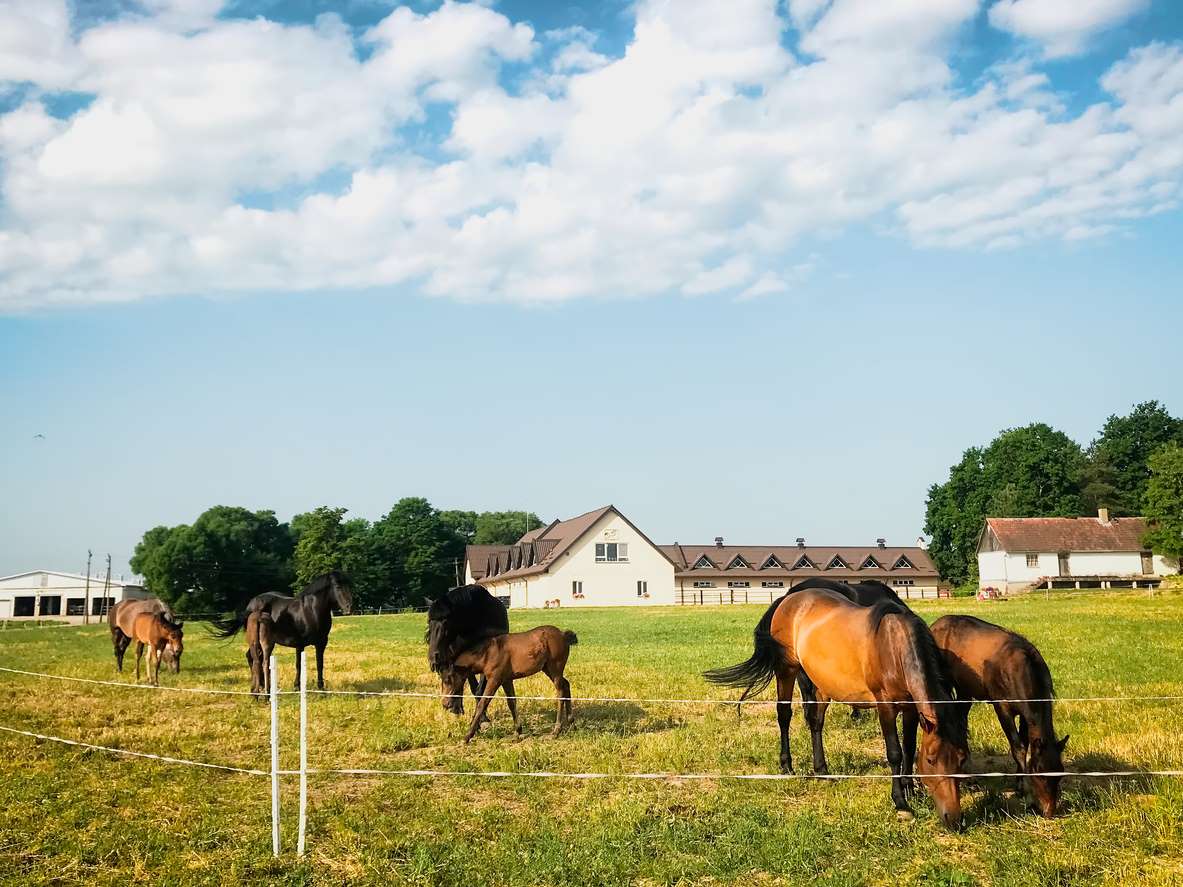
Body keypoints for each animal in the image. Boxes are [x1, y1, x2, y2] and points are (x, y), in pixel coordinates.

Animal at [208, 572, 350, 700]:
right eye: (337, 586)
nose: (348, 607)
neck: (310, 610)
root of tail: (251, 604)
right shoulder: (306, 644)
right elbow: (305, 665)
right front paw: (314, 690)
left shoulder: (315, 643)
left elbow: (313, 664)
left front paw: (304, 688)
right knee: (255, 658)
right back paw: (261, 689)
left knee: (252, 657)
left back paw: (259, 688)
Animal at [430, 586, 513, 719]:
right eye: (429, 622)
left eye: (445, 622)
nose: (433, 657)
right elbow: (472, 686)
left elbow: (480, 689)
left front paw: (482, 717)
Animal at [440, 629, 577, 747]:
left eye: (448, 679)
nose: (445, 704)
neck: (488, 653)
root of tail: (563, 634)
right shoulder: (506, 680)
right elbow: (511, 702)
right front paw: (518, 731)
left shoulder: (494, 680)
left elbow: (482, 703)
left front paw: (467, 737)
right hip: (548, 669)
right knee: (566, 685)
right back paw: (571, 723)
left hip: (555, 669)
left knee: (560, 692)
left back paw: (556, 731)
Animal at [700, 591, 970, 832]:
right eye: (932, 760)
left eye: (961, 759)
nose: (954, 820)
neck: (894, 647)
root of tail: (787, 600)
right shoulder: (885, 706)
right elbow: (894, 752)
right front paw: (901, 803)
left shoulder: (912, 708)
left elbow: (909, 748)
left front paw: (910, 790)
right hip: (786, 670)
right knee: (784, 715)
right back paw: (787, 767)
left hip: (819, 682)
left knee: (816, 722)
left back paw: (822, 770)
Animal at [932, 619, 1074, 818]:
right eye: (1038, 771)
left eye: (1060, 771)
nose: (1049, 810)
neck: (1020, 670)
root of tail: (936, 624)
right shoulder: (1002, 708)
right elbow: (1018, 748)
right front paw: (1025, 792)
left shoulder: (1025, 714)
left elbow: (1025, 743)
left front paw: (1019, 783)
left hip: (965, 690)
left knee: (960, 721)